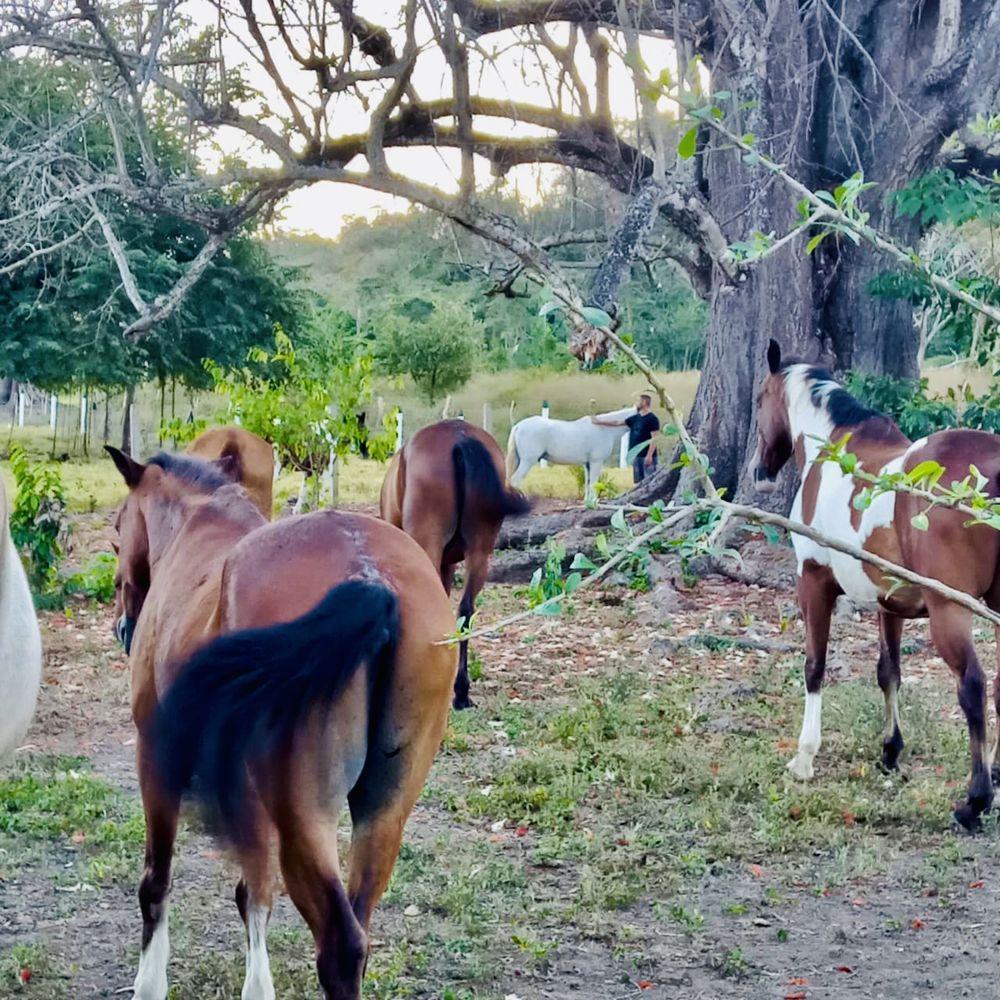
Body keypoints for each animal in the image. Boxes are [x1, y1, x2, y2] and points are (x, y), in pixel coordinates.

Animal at [105, 445, 457, 999]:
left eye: (119, 527)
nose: (123, 624)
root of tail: (370, 578)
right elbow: (254, 893)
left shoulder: (155, 757)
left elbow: (156, 883)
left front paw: (149, 983)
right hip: (383, 814)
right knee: (357, 928)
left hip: (304, 822)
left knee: (340, 945)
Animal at [506, 406, 636, 503]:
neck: (604, 429)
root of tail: (518, 426)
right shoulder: (596, 462)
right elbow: (593, 482)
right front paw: (594, 502)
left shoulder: (587, 464)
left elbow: (588, 483)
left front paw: (587, 502)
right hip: (527, 462)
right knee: (515, 480)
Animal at [754, 338, 1000, 832]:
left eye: (758, 401)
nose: (760, 469)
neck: (834, 450)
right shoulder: (891, 604)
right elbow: (889, 672)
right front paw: (890, 752)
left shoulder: (813, 583)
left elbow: (814, 667)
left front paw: (804, 758)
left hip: (951, 611)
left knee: (973, 686)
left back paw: (974, 801)